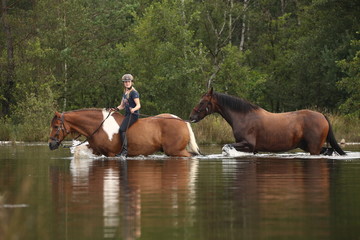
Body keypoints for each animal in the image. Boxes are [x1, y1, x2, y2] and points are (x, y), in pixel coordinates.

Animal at [48, 109, 201, 158]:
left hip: (175, 151)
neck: (99, 126)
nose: (51, 144)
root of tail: (181, 121)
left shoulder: (111, 154)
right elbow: (80, 151)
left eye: (56, 126)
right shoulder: (96, 150)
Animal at [190, 88, 344, 156]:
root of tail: (322, 116)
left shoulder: (248, 144)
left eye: (202, 102)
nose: (191, 116)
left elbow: (226, 147)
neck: (243, 117)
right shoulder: (253, 149)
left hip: (313, 148)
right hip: (308, 146)